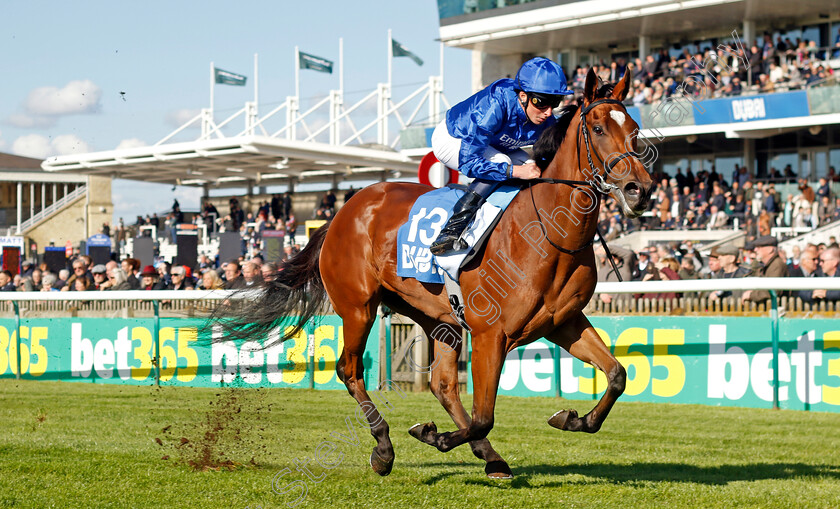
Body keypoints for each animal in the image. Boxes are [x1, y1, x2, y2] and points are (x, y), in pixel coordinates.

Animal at [225, 69, 656, 478]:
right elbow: (484, 416)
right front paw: (434, 435)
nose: (641, 189)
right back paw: (384, 448)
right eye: (598, 128)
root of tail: (341, 211)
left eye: (634, 129)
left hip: (437, 317)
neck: (549, 233)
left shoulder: (563, 321)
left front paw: (572, 418)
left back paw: (490, 458)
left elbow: (617, 374)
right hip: (358, 306)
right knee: (350, 370)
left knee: (442, 383)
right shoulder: (491, 334)